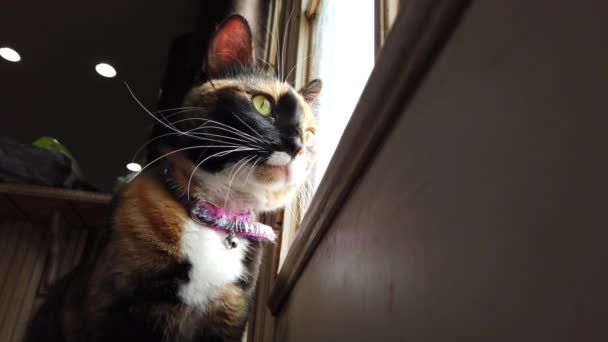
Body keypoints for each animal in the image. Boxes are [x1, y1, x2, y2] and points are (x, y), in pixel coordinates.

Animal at [27, 14, 324, 340]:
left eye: (309, 134)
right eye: (262, 104)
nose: (297, 145)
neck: (217, 216)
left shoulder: (228, 317)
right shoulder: (127, 306)